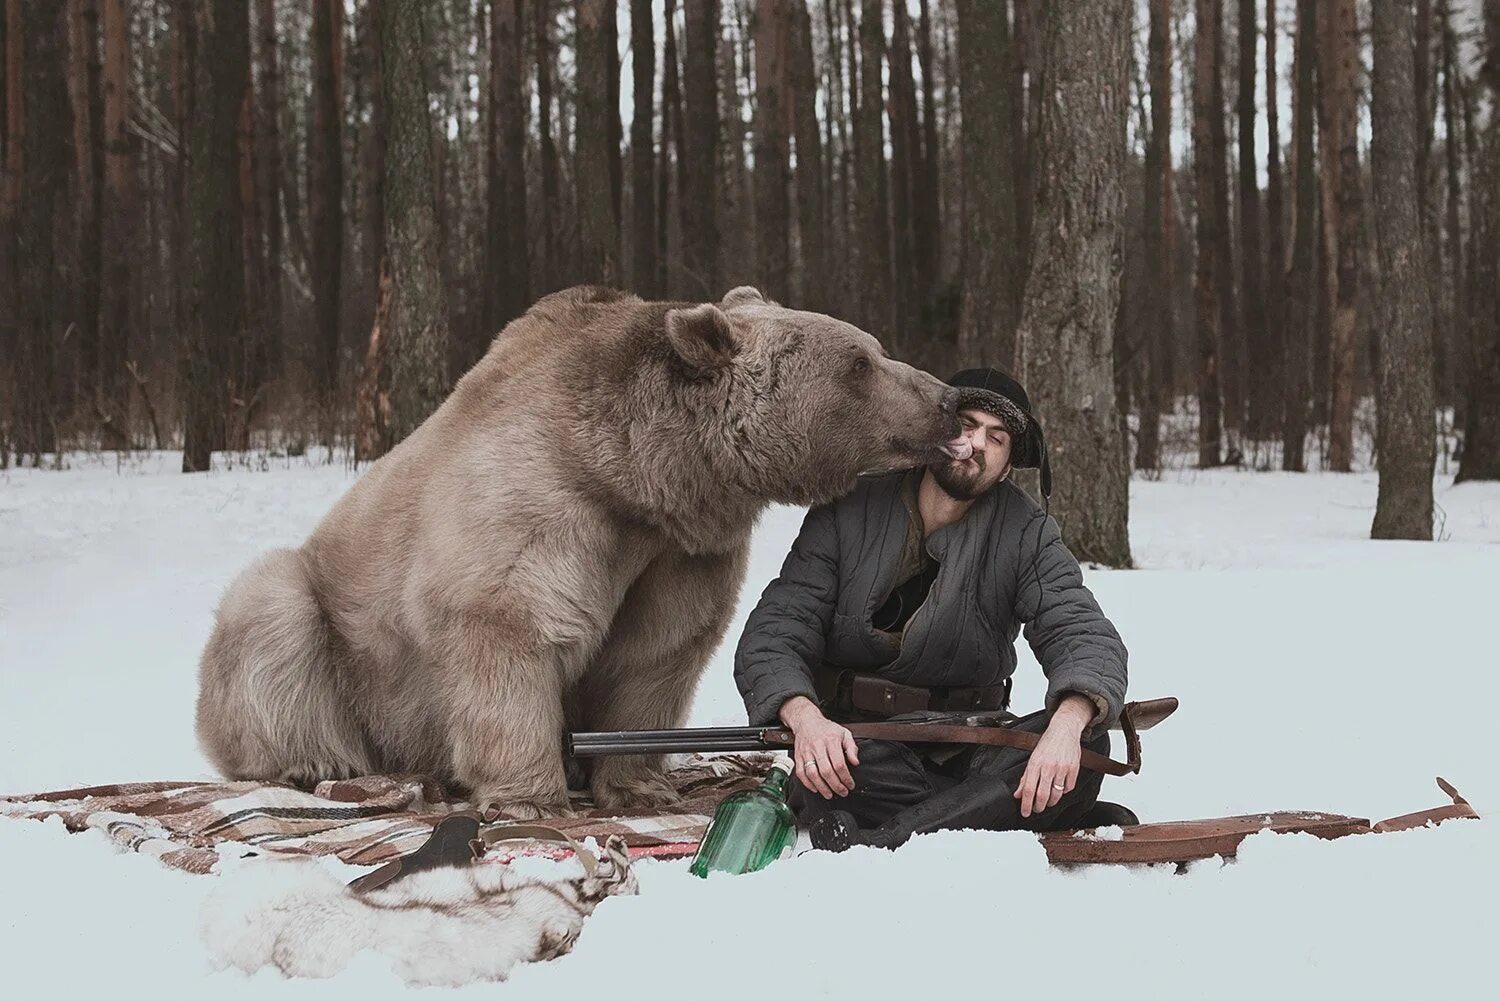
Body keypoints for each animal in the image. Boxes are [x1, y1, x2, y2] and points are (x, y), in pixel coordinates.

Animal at [196, 285, 960, 816]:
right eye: (859, 362)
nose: (949, 397)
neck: (642, 478)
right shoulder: (545, 506)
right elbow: (508, 623)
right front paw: (529, 794)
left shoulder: (682, 554)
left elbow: (657, 652)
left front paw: (640, 785)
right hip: (333, 634)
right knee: (269, 615)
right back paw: (314, 763)